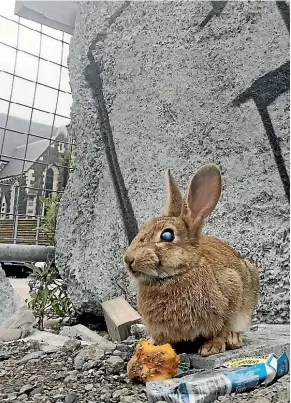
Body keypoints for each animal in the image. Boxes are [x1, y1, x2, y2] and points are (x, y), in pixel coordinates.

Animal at [124, 166, 260, 358]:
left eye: (167, 235)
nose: (128, 259)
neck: (175, 274)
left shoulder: (231, 291)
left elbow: (221, 329)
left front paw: (212, 347)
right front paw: (154, 347)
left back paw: (233, 339)